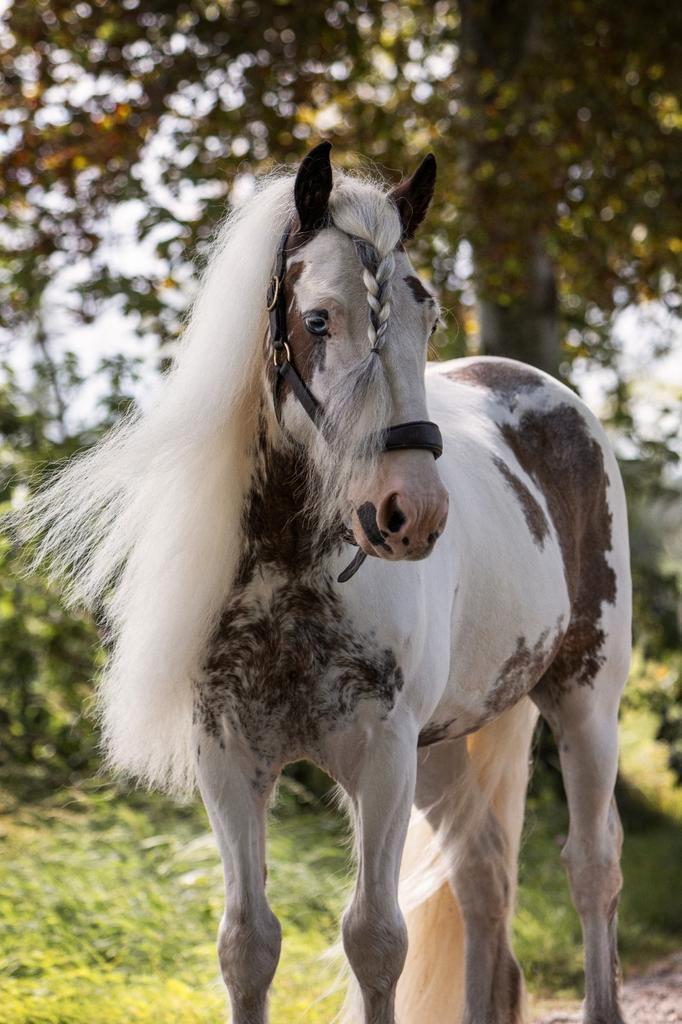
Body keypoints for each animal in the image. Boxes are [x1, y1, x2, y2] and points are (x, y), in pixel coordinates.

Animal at [17, 141, 631, 1024]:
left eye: (425, 318)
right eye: (317, 321)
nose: (412, 511)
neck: (288, 570)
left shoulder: (379, 753)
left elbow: (375, 940)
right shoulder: (230, 755)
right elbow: (247, 945)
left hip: (584, 698)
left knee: (591, 868)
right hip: (444, 747)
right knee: (483, 878)